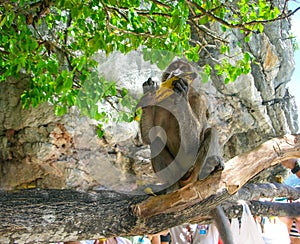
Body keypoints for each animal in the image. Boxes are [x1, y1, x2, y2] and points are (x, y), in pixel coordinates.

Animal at [137, 59, 233, 244]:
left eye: (182, 69)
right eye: (173, 69)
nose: (175, 74)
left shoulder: (199, 100)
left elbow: (194, 142)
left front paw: (182, 92)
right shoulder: (162, 102)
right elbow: (149, 136)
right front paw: (149, 90)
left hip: (193, 172)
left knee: (211, 132)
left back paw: (209, 169)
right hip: (178, 174)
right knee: (157, 142)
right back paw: (170, 189)